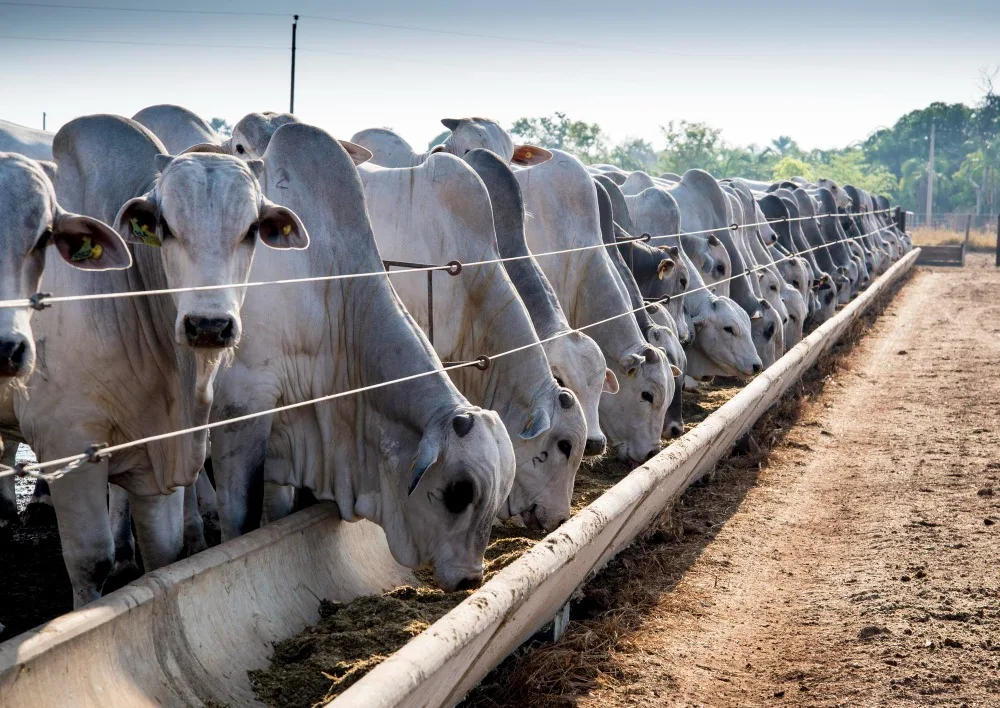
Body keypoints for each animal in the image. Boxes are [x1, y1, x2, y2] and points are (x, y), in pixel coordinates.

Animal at [0, 116, 308, 608]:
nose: (208, 325)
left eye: (251, 230)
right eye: (166, 227)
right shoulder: (66, 438)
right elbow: (91, 560)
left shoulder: (153, 452)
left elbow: (163, 552)